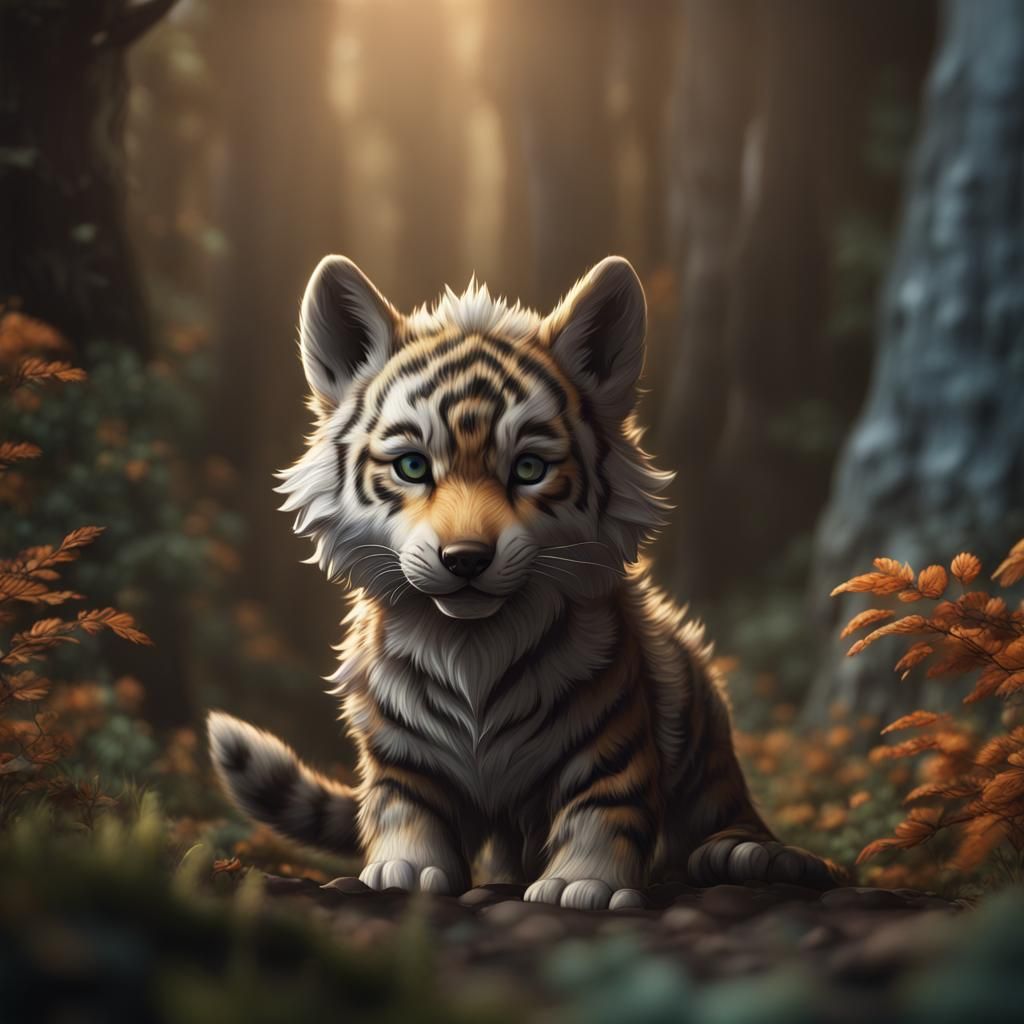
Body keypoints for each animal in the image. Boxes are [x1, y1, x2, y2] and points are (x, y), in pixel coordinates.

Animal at [207, 254, 844, 910]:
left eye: (530, 469)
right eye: (412, 466)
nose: (465, 558)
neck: (471, 645)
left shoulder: (610, 732)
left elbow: (604, 804)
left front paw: (583, 882)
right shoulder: (400, 746)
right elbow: (403, 802)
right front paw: (404, 869)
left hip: (698, 704)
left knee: (723, 801)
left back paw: (755, 855)